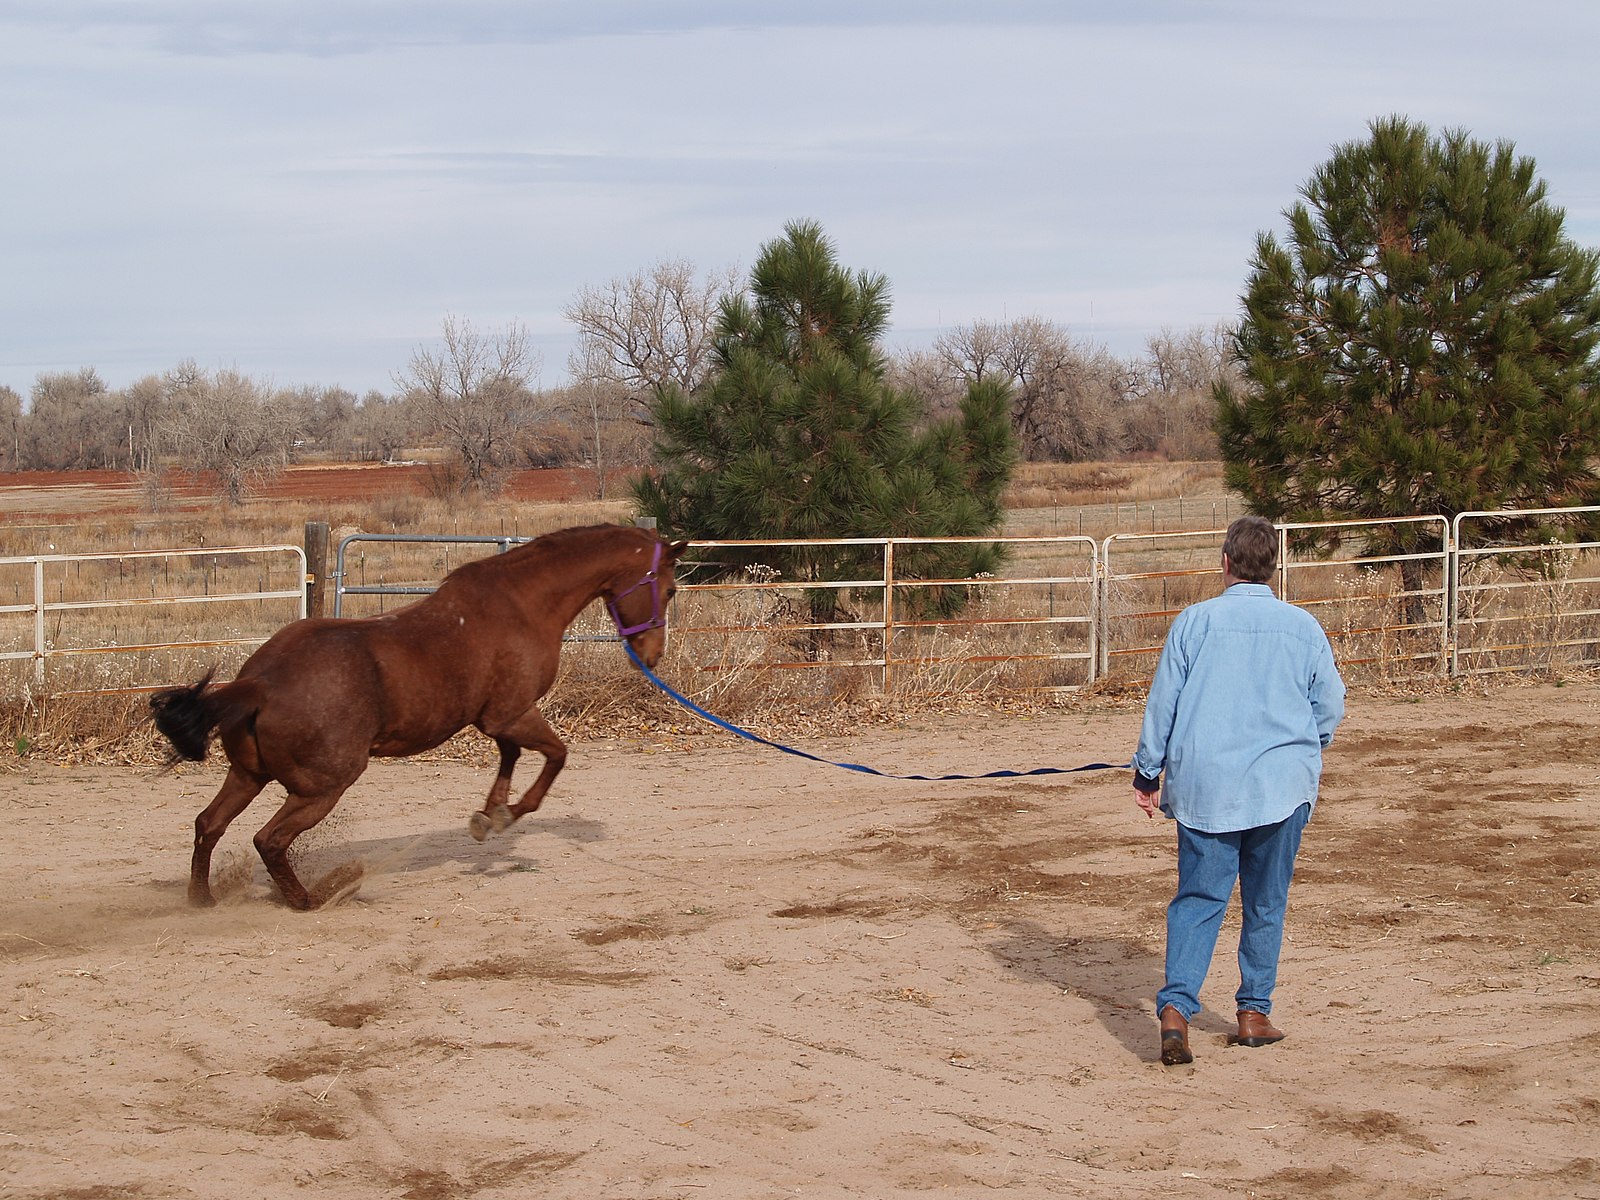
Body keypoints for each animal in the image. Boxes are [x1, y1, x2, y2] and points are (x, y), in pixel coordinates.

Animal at [142, 524, 681, 908]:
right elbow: (555, 756)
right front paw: (508, 815)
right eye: (671, 589)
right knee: (268, 840)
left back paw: (203, 899)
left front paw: (488, 816)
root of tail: (260, 682)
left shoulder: (496, 719)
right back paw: (311, 899)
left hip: (247, 775)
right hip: (322, 787)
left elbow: (510, 757)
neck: (522, 605)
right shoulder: (511, 714)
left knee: (209, 824)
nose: (651, 655)